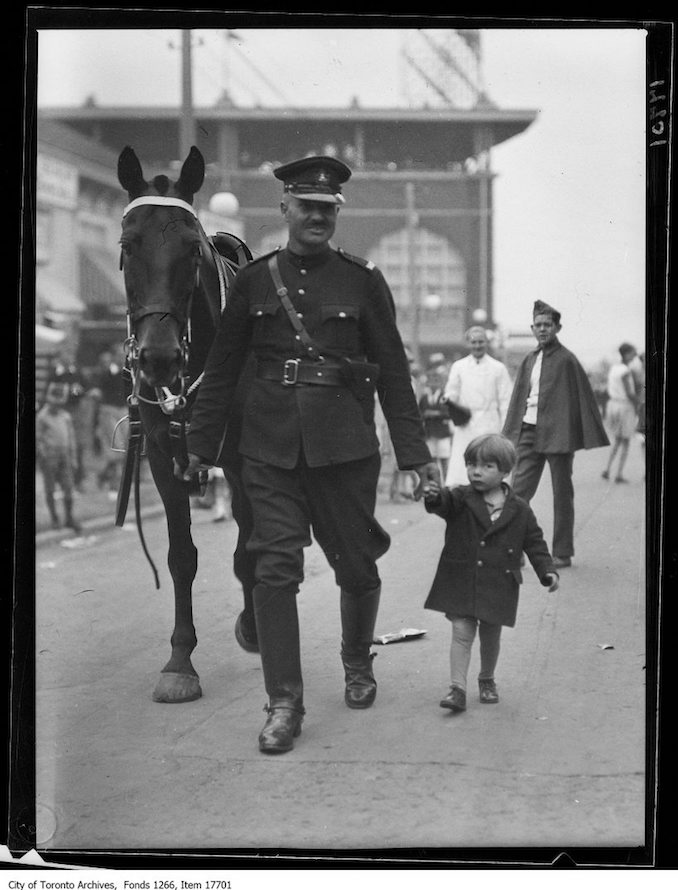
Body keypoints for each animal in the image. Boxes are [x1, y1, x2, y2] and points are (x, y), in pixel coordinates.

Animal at [115, 144, 258, 700]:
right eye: (127, 246)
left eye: (191, 250)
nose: (157, 357)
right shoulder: (162, 454)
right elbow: (180, 556)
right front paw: (180, 659)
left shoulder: (243, 457)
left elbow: (251, 541)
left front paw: (254, 626)